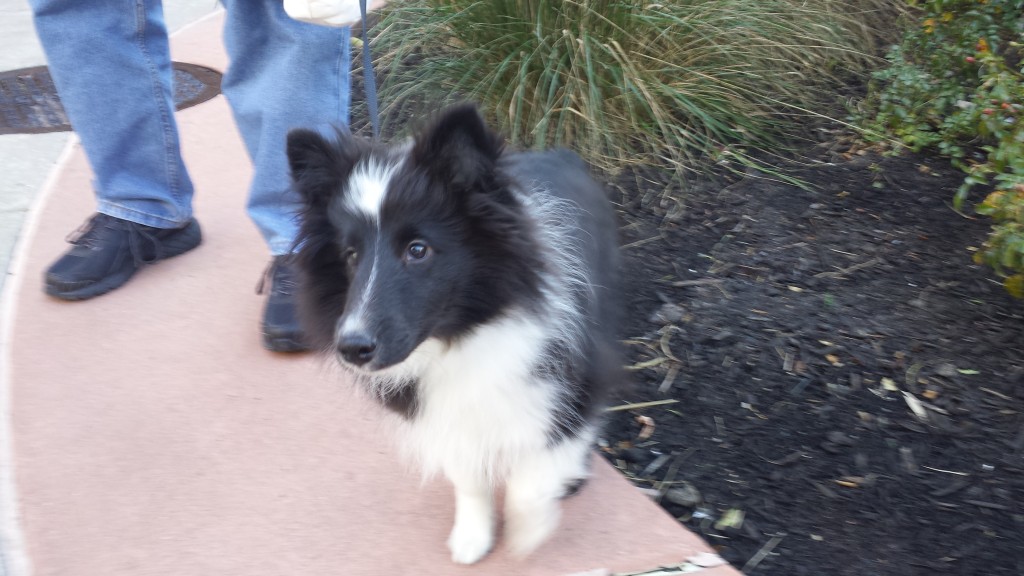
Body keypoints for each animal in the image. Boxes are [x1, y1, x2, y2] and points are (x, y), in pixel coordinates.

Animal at [288, 103, 622, 561]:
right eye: (351, 255)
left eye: (418, 250)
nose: (352, 348)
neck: (461, 336)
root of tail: (564, 153)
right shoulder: (442, 414)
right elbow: (468, 475)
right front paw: (472, 538)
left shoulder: (578, 378)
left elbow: (536, 472)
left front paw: (527, 534)